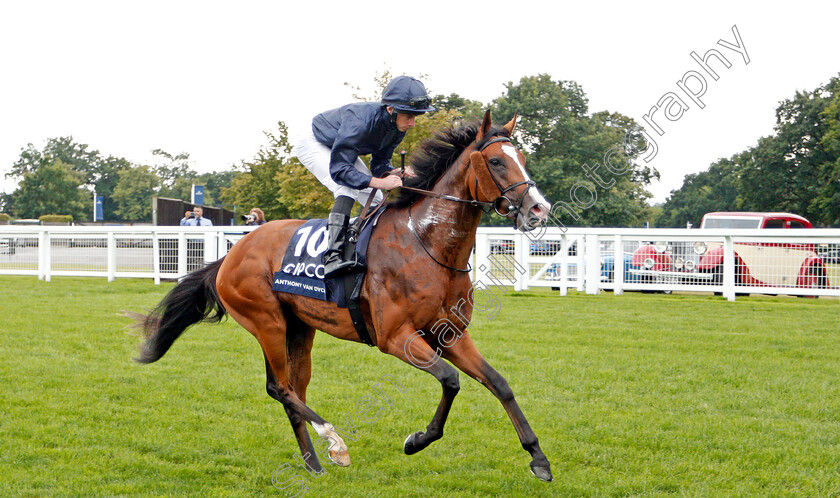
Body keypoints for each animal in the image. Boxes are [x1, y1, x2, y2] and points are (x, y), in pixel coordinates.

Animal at [130, 110, 556, 482]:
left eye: (523, 158)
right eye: (497, 161)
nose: (539, 209)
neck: (427, 243)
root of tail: (230, 255)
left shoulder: (450, 333)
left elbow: (499, 383)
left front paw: (539, 459)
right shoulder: (395, 337)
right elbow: (450, 381)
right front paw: (416, 440)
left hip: (299, 327)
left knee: (292, 389)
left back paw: (314, 463)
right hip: (266, 321)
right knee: (280, 388)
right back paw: (334, 442)